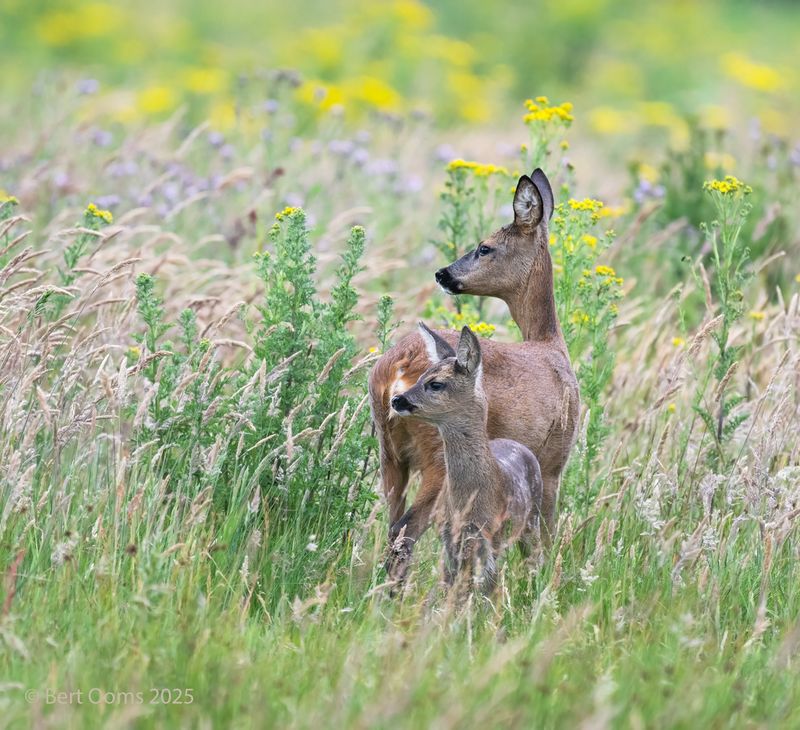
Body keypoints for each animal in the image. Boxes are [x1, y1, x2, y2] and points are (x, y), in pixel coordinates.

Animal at [391, 324, 543, 598]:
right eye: (418, 377)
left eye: (436, 384)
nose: (397, 399)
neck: (470, 500)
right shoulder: (448, 538)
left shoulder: (489, 538)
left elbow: (485, 591)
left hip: (531, 520)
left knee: (535, 562)